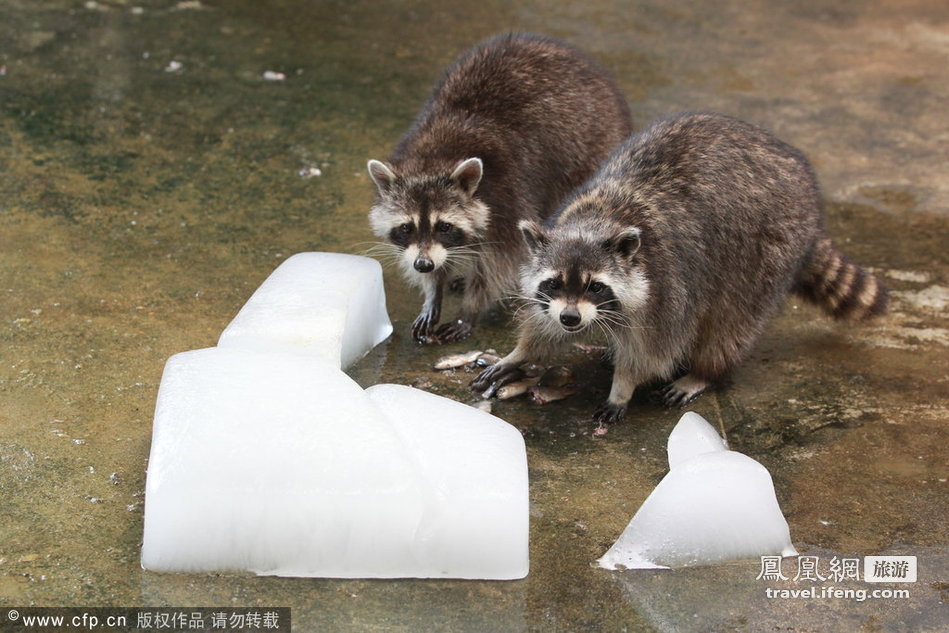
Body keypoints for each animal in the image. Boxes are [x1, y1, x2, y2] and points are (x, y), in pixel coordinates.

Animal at [366, 32, 632, 344]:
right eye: (406, 227)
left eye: (444, 226)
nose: (423, 264)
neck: (435, 158)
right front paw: (433, 293)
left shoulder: (507, 198)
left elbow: (498, 266)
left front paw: (469, 310)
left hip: (588, 153)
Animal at [474, 111, 888, 422]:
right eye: (555, 283)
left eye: (595, 286)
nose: (572, 319)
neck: (597, 221)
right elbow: (543, 326)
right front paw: (521, 353)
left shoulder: (668, 288)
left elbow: (655, 351)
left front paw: (624, 386)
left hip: (766, 252)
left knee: (729, 323)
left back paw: (704, 372)